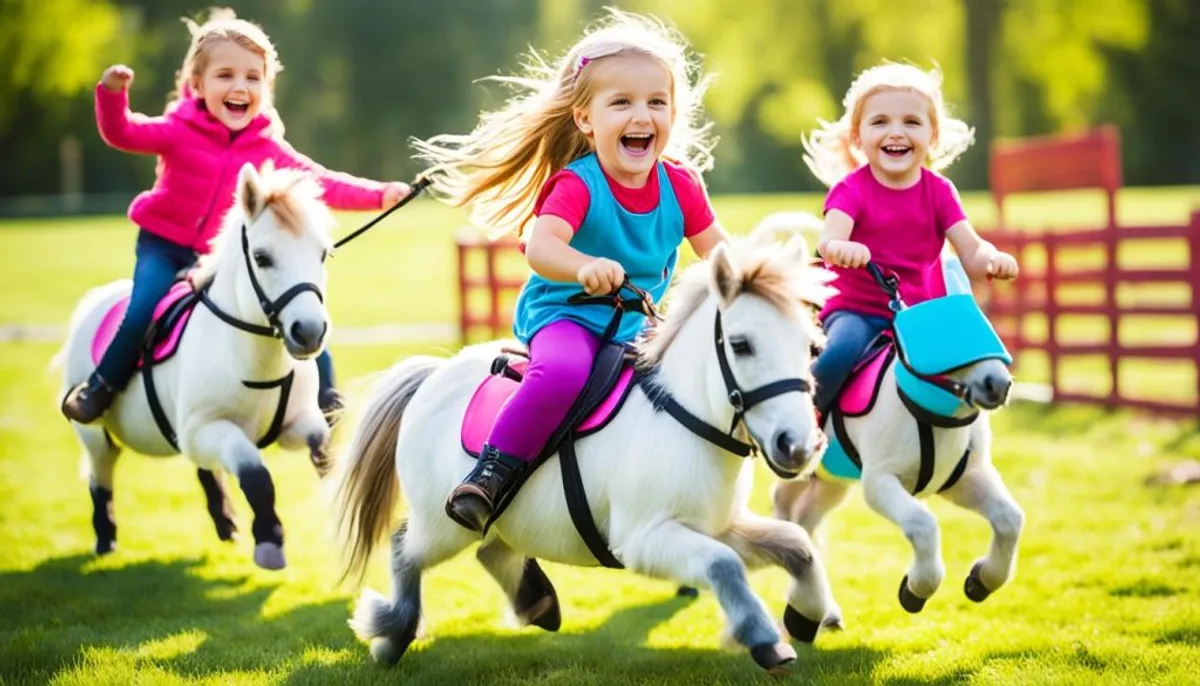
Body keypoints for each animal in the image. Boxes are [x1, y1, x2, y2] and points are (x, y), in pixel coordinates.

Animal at [57, 163, 333, 570]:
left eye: (322, 254)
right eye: (262, 258)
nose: (309, 331)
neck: (249, 359)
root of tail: (95, 300)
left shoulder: (296, 422)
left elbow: (322, 447)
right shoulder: (209, 429)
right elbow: (256, 475)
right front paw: (270, 542)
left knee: (203, 469)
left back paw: (226, 524)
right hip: (93, 433)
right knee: (100, 474)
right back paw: (105, 539)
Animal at [324, 232, 840, 671]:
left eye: (812, 346)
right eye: (741, 344)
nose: (798, 446)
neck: (684, 417)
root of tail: (433, 375)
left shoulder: (719, 526)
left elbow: (798, 547)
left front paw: (806, 616)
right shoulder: (644, 540)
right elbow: (724, 565)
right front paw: (764, 638)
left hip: (499, 517)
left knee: (492, 549)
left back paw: (537, 604)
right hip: (442, 525)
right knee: (405, 549)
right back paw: (393, 633)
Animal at [763, 212, 1027, 614]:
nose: (998, 384)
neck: (929, 415)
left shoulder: (966, 478)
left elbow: (1010, 519)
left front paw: (980, 581)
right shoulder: (879, 481)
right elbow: (923, 524)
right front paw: (915, 590)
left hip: (831, 482)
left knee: (805, 515)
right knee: (784, 501)